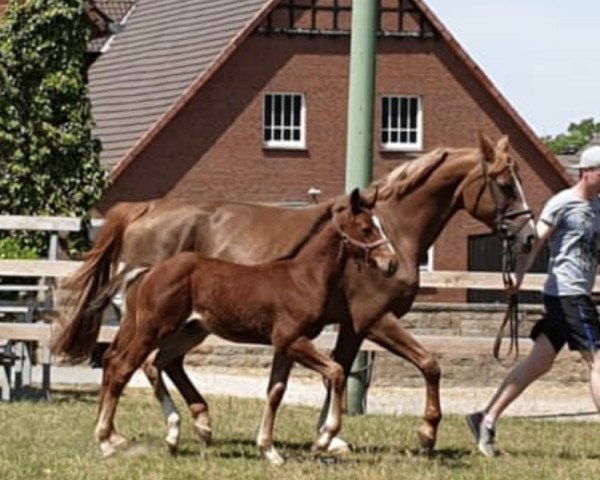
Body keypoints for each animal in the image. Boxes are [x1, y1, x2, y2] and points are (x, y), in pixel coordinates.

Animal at [96, 189, 396, 464]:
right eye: (366, 228)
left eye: (380, 225)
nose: (391, 263)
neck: (303, 278)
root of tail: (151, 271)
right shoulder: (292, 339)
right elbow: (336, 372)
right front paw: (323, 440)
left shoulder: (283, 346)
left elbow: (275, 392)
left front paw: (269, 451)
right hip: (154, 329)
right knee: (121, 367)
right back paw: (106, 441)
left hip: (188, 331)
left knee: (155, 363)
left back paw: (173, 434)